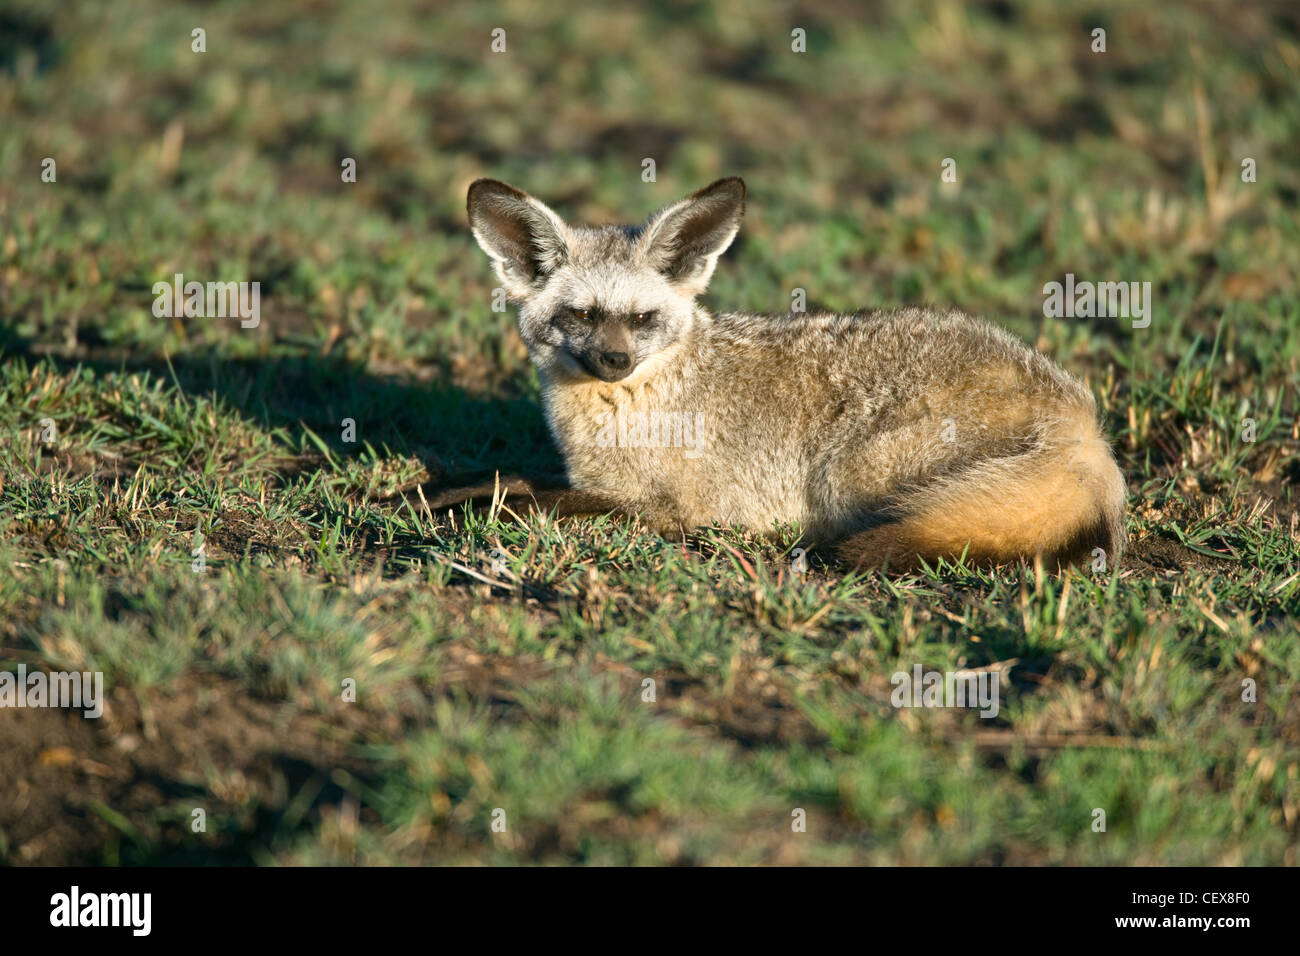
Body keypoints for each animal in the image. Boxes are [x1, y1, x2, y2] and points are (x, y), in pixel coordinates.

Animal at [459, 176, 1127, 571]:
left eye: (642, 318)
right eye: (582, 315)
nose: (615, 362)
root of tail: (1083, 418)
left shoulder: (668, 508)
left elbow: (530, 500)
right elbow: (505, 482)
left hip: (845, 473)